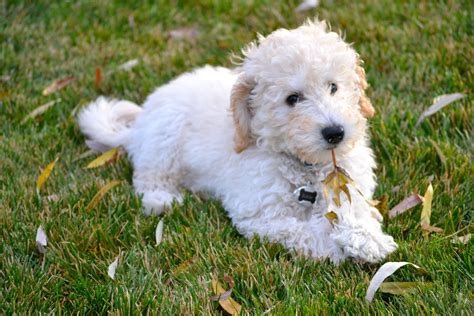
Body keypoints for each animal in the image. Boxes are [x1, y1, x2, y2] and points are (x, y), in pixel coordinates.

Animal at [78, 19, 396, 262]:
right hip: (164, 138)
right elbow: (303, 231)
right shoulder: (260, 215)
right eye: (292, 99)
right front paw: (336, 246)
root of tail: (140, 124)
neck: (308, 167)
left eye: (333, 87)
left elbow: (355, 210)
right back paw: (161, 200)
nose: (335, 133)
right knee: (148, 176)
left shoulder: (351, 185)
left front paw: (367, 239)